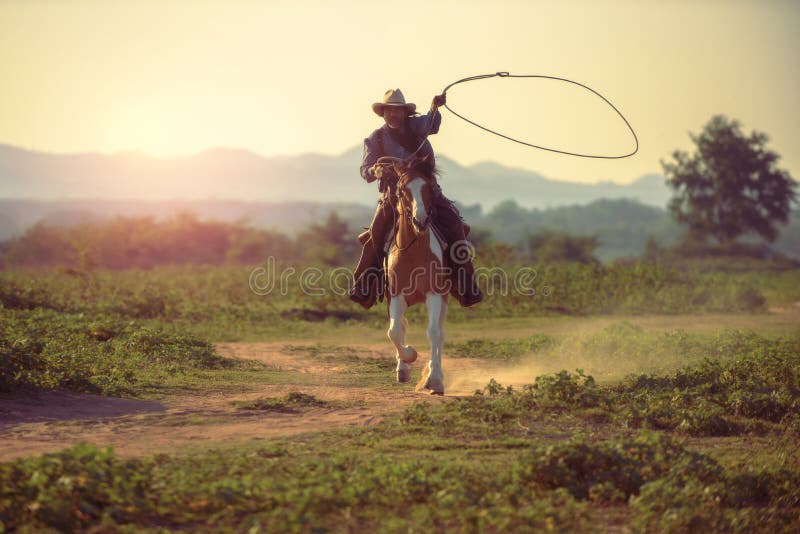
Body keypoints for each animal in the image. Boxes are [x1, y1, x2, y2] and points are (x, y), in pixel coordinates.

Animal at [382, 157, 450, 396]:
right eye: (403, 189)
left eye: (429, 187)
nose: (420, 220)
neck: (413, 250)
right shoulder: (396, 295)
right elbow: (394, 331)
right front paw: (408, 358)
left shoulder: (434, 294)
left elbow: (433, 333)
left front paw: (434, 380)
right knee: (400, 326)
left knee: (440, 332)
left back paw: (435, 376)